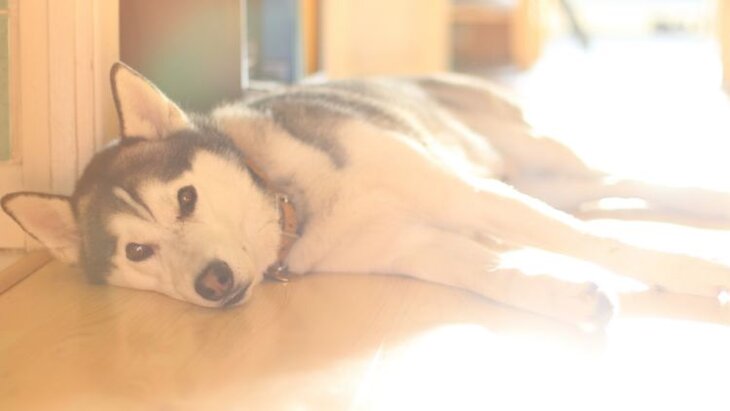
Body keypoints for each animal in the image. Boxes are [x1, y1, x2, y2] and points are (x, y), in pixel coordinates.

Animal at [1, 64, 728, 326]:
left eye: (184, 199)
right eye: (139, 251)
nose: (212, 281)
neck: (298, 204)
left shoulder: (468, 197)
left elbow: (609, 247)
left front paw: (696, 274)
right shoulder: (417, 247)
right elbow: (493, 274)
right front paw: (566, 295)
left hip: (531, 161)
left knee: (622, 184)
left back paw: (703, 202)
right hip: (542, 184)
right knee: (605, 194)